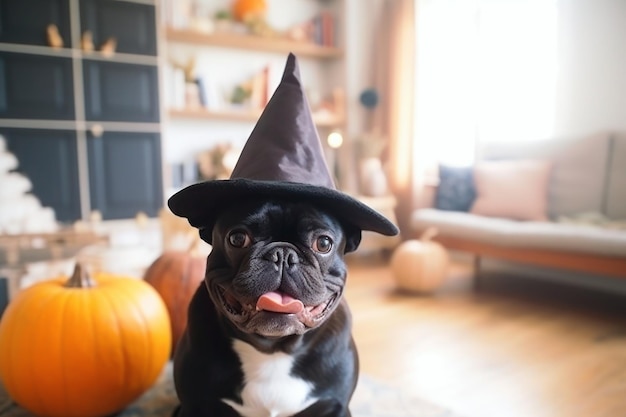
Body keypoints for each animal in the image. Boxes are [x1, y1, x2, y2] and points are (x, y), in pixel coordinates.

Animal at [173, 199, 360, 416]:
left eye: (323, 244)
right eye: (237, 238)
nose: (283, 254)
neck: (272, 351)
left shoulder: (335, 406)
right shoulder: (194, 406)